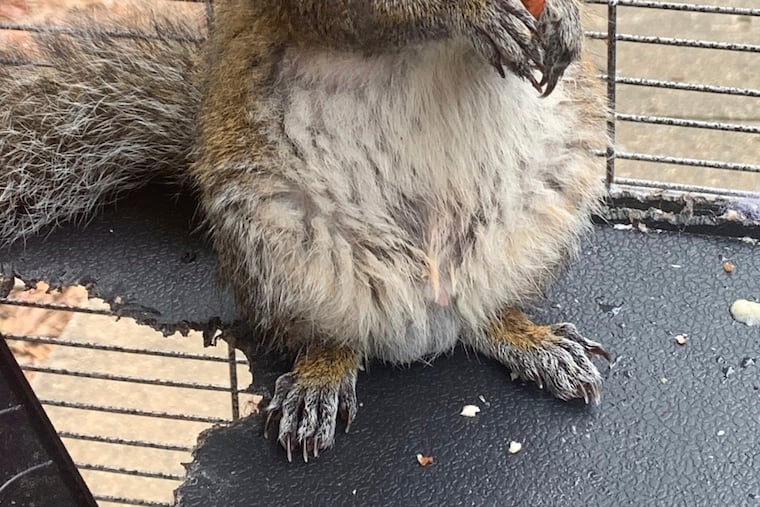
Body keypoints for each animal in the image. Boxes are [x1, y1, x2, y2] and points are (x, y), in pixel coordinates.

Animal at [0, 0, 610, 462]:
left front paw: (566, 17)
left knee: (479, 317)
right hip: (276, 245)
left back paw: (532, 341)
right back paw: (320, 381)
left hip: (544, 213)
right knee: (328, 336)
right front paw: (473, 13)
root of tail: (427, 319)